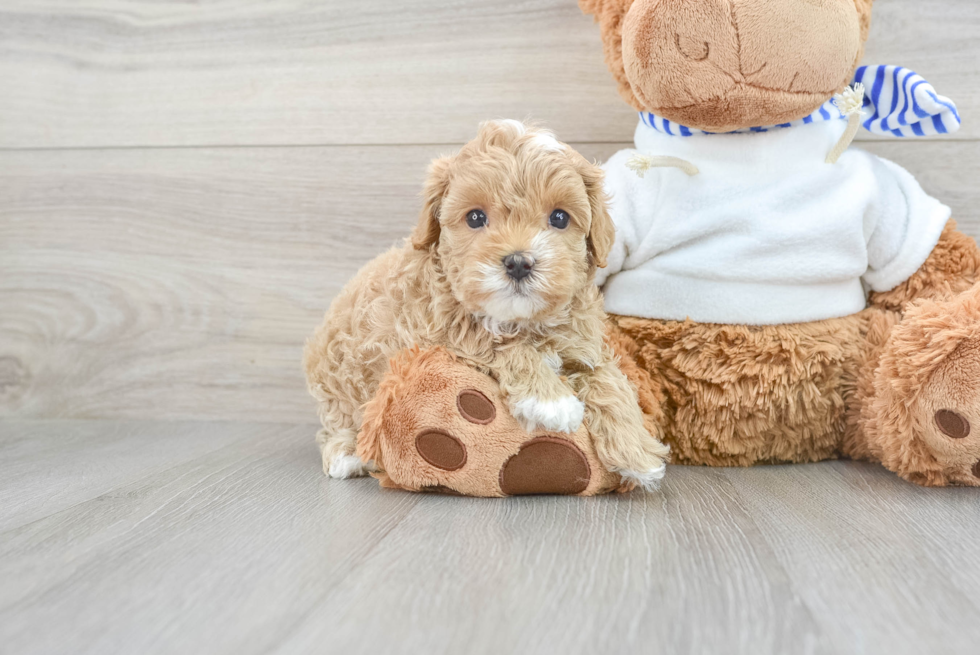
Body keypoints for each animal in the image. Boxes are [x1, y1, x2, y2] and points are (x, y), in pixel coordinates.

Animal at [302, 120, 668, 490]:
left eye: (560, 218)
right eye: (476, 218)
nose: (518, 262)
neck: (524, 320)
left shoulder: (582, 345)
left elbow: (607, 379)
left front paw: (638, 453)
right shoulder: (435, 333)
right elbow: (497, 343)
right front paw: (551, 400)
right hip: (335, 378)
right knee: (336, 421)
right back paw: (346, 453)